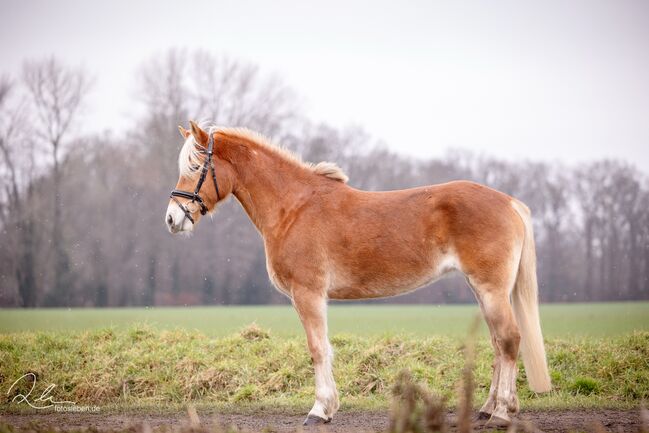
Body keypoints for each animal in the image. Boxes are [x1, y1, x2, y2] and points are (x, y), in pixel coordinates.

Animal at [165, 121, 552, 427]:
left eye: (196, 165)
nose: (172, 218)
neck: (293, 207)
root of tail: (509, 202)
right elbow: (322, 348)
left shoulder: (308, 294)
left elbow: (318, 349)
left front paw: (320, 410)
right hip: (482, 290)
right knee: (498, 343)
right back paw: (488, 409)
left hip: (491, 289)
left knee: (509, 340)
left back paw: (501, 413)